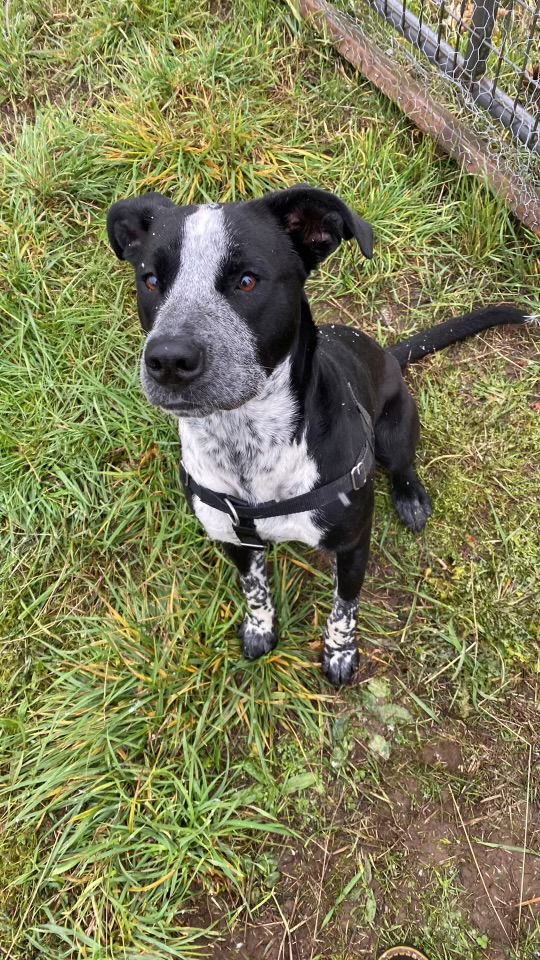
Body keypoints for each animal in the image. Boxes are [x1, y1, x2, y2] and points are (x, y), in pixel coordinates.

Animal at [107, 184, 532, 688]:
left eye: (247, 281)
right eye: (151, 280)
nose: (169, 360)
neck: (246, 443)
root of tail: (388, 353)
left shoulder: (353, 546)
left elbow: (344, 608)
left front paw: (339, 653)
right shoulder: (235, 540)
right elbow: (254, 588)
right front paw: (260, 628)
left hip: (395, 429)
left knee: (403, 464)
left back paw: (410, 497)